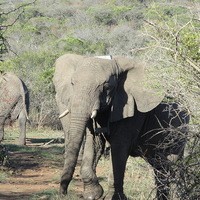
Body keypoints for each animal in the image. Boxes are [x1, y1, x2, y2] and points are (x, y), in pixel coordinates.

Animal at [52, 53, 188, 200]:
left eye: (106, 86)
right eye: (72, 84)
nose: (62, 193)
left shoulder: (132, 110)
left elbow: (119, 149)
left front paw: (113, 197)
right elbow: (93, 143)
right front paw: (92, 195)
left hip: (178, 131)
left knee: (171, 164)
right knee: (159, 167)